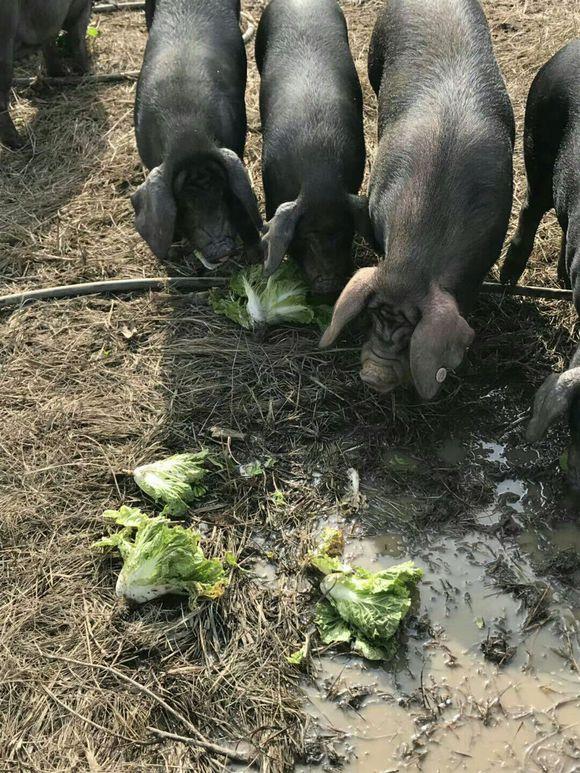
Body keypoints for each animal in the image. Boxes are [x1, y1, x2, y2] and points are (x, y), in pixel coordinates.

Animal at [0, 0, 92, 148]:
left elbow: (49, 42)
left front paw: (59, 74)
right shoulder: (80, 8)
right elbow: (77, 37)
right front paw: (85, 72)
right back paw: (19, 143)